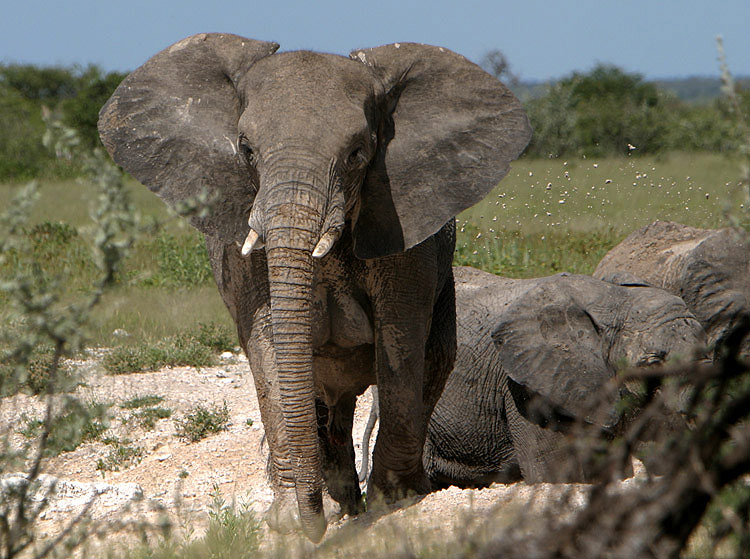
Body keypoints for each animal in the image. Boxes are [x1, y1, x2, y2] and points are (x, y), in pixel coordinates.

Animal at [98, 32, 536, 540]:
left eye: (357, 154)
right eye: (246, 150)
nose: (314, 526)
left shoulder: (404, 230)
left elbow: (402, 339)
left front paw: (395, 503)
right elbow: (268, 345)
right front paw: (291, 519)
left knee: (431, 359)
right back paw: (339, 502)